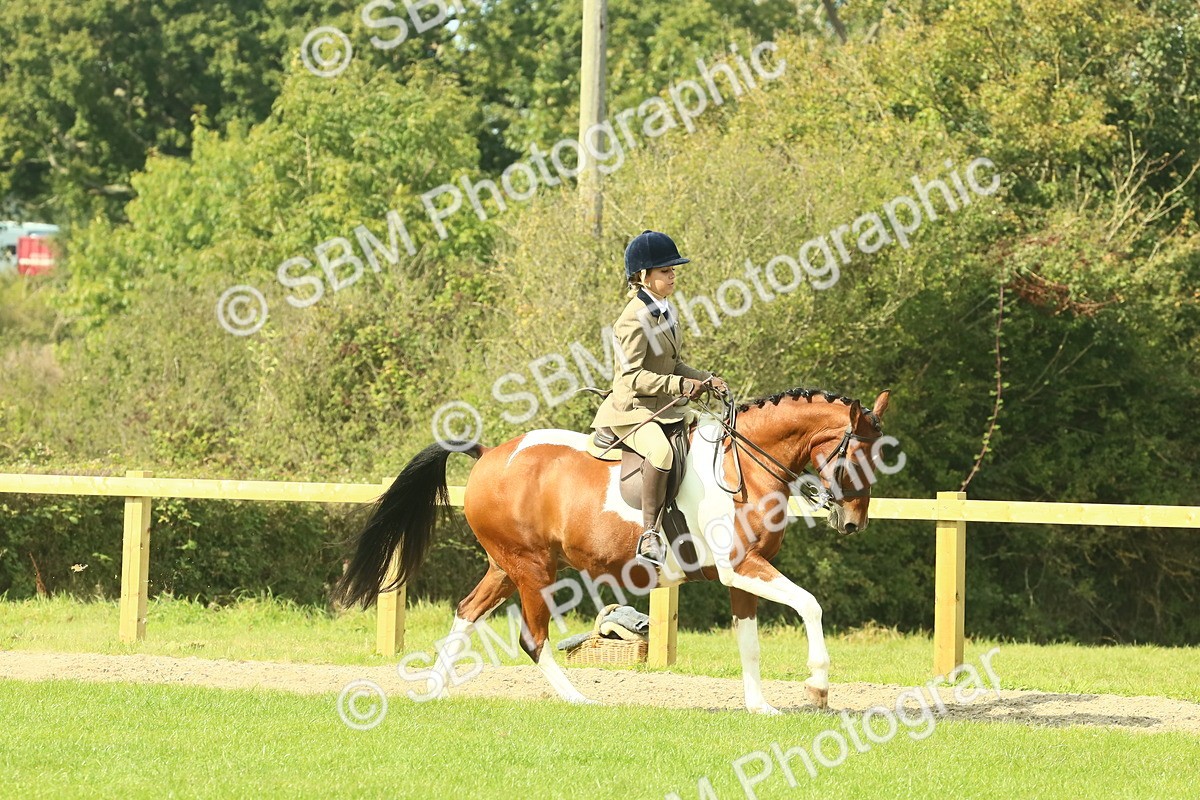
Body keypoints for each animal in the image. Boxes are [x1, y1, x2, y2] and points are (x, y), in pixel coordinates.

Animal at [335, 387, 892, 714]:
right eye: (856, 458)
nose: (853, 524)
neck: (745, 466)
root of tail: (491, 453)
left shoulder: (742, 575)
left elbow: (749, 643)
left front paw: (761, 708)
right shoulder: (742, 567)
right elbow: (809, 605)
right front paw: (818, 687)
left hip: (506, 565)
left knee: (468, 610)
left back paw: (433, 689)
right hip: (533, 568)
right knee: (533, 637)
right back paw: (577, 698)